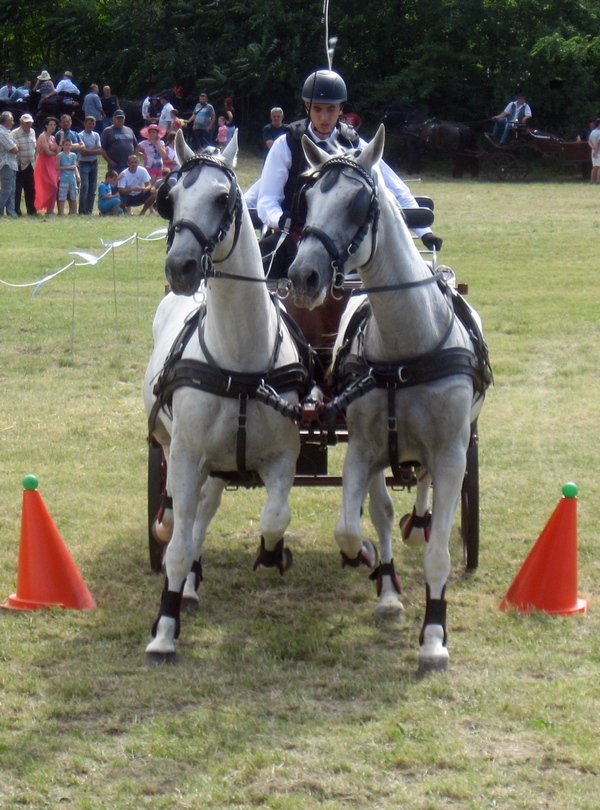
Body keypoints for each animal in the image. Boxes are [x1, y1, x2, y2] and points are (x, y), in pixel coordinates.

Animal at [144, 131, 310, 664]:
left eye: (222, 197)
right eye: (171, 197)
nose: (180, 267)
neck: (240, 362)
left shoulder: (284, 455)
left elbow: (276, 516)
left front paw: (274, 553)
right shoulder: (186, 454)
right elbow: (176, 544)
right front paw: (164, 629)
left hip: (217, 465)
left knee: (204, 509)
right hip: (176, 448)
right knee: (183, 516)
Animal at [288, 124, 490, 668]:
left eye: (359, 202)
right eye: (306, 198)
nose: (303, 276)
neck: (406, 345)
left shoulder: (452, 452)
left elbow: (440, 553)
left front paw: (435, 637)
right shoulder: (364, 449)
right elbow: (353, 524)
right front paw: (374, 571)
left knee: (425, 487)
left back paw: (418, 521)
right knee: (382, 504)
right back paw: (388, 587)